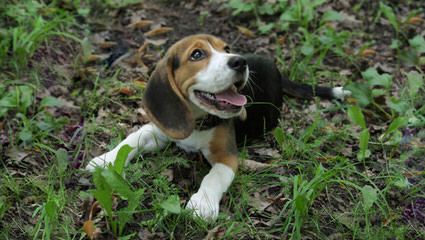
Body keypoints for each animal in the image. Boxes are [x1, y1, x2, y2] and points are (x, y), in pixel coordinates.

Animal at [85, 33, 348, 221]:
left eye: (226, 49)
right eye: (197, 54)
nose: (239, 61)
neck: (197, 120)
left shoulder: (227, 156)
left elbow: (213, 177)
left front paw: (202, 204)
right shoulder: (161, 130)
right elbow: (133, 139)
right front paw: (106, 160)